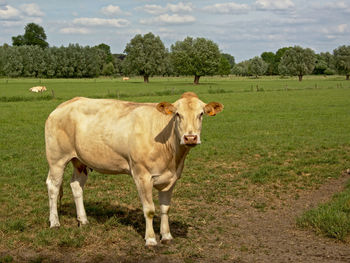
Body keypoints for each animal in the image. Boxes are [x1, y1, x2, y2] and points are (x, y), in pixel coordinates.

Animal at [44, 92, 224, 246]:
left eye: (201, 114)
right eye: (177, 115)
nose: (190, 138)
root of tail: (66, 104)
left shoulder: (172, 178)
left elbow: (165, 208)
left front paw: (166, 236)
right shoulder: (142, 175)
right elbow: (149, 210)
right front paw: (150, 239)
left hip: (80, 160)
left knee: (76, 185)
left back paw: (83, 220)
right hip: (57, 159)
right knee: (53, 186)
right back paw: (55, 223)